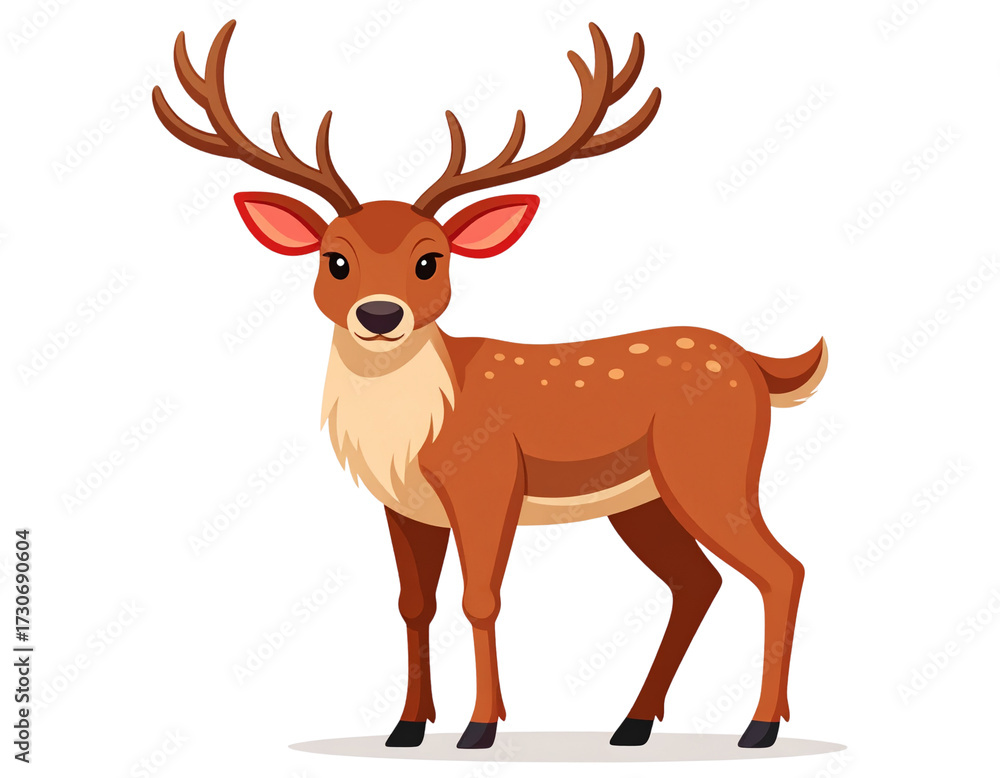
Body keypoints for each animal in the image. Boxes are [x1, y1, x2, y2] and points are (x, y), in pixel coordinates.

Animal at [153, 19, 827, 751]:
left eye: (430, 260)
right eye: (335, 260)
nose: (380, 314)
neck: (417, 430)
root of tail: (758, 365)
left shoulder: (489, 480)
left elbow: (480, 599)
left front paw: (480, 728)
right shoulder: (406, 508)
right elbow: (414, 604)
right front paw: (407, 726)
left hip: (711, 470)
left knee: (781, 569)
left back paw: (760, 727)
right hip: (643, 500)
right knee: (697, 582)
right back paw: (633, 724)